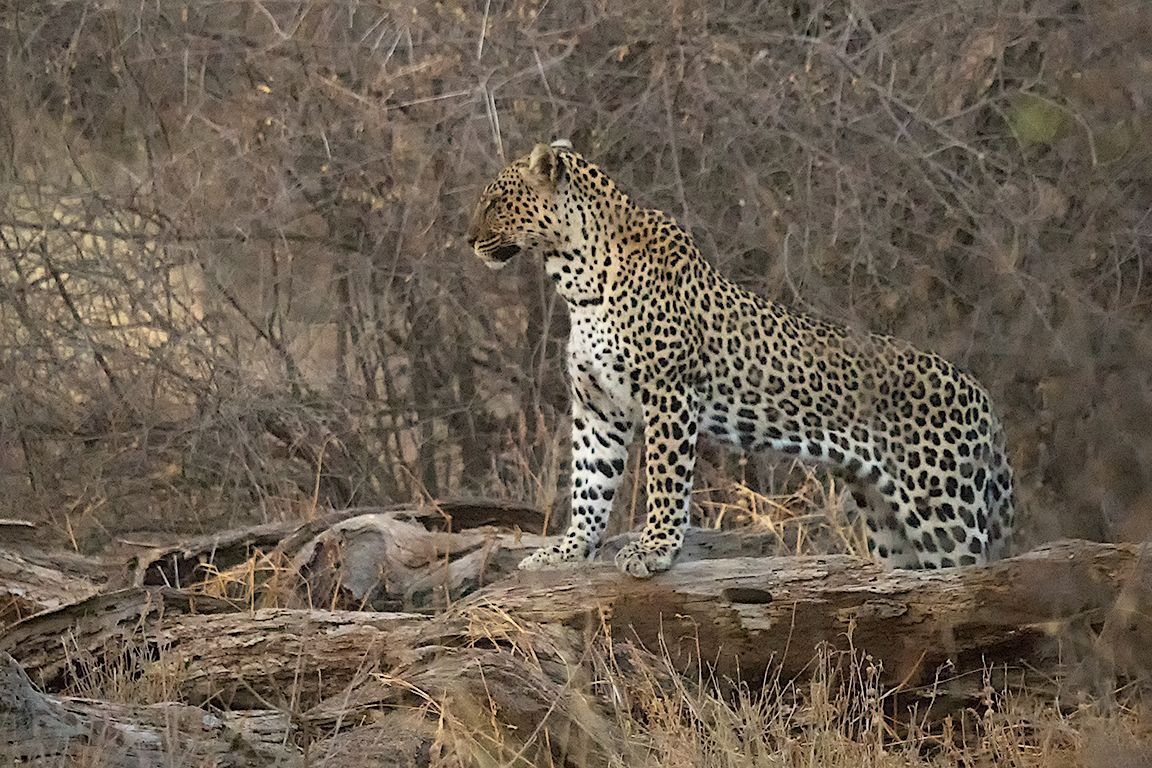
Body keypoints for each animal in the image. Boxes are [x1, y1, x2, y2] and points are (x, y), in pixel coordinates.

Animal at [466, 140, 1015, 578]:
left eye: (495, 201)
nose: (468, 240)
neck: (577, 281)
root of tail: (984, 396)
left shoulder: (668, 395)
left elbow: (665, 480)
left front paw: (654, 549)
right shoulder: (599, 407)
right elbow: (590, 484)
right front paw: (567, 551)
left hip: (944, 510)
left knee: (970, 578)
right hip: (885, 518)